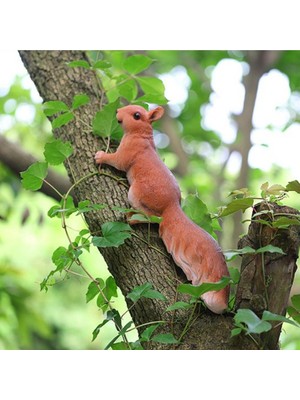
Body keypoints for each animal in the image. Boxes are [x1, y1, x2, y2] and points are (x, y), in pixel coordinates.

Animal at [95, 104, 229, 314]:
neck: (141, 136)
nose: (117, 112)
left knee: (151, 217)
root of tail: (171, 208)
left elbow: (117, 160)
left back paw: (133, 218)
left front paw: (101, 156)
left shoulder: (129, 152)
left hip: (136, 194)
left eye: (136, 115)